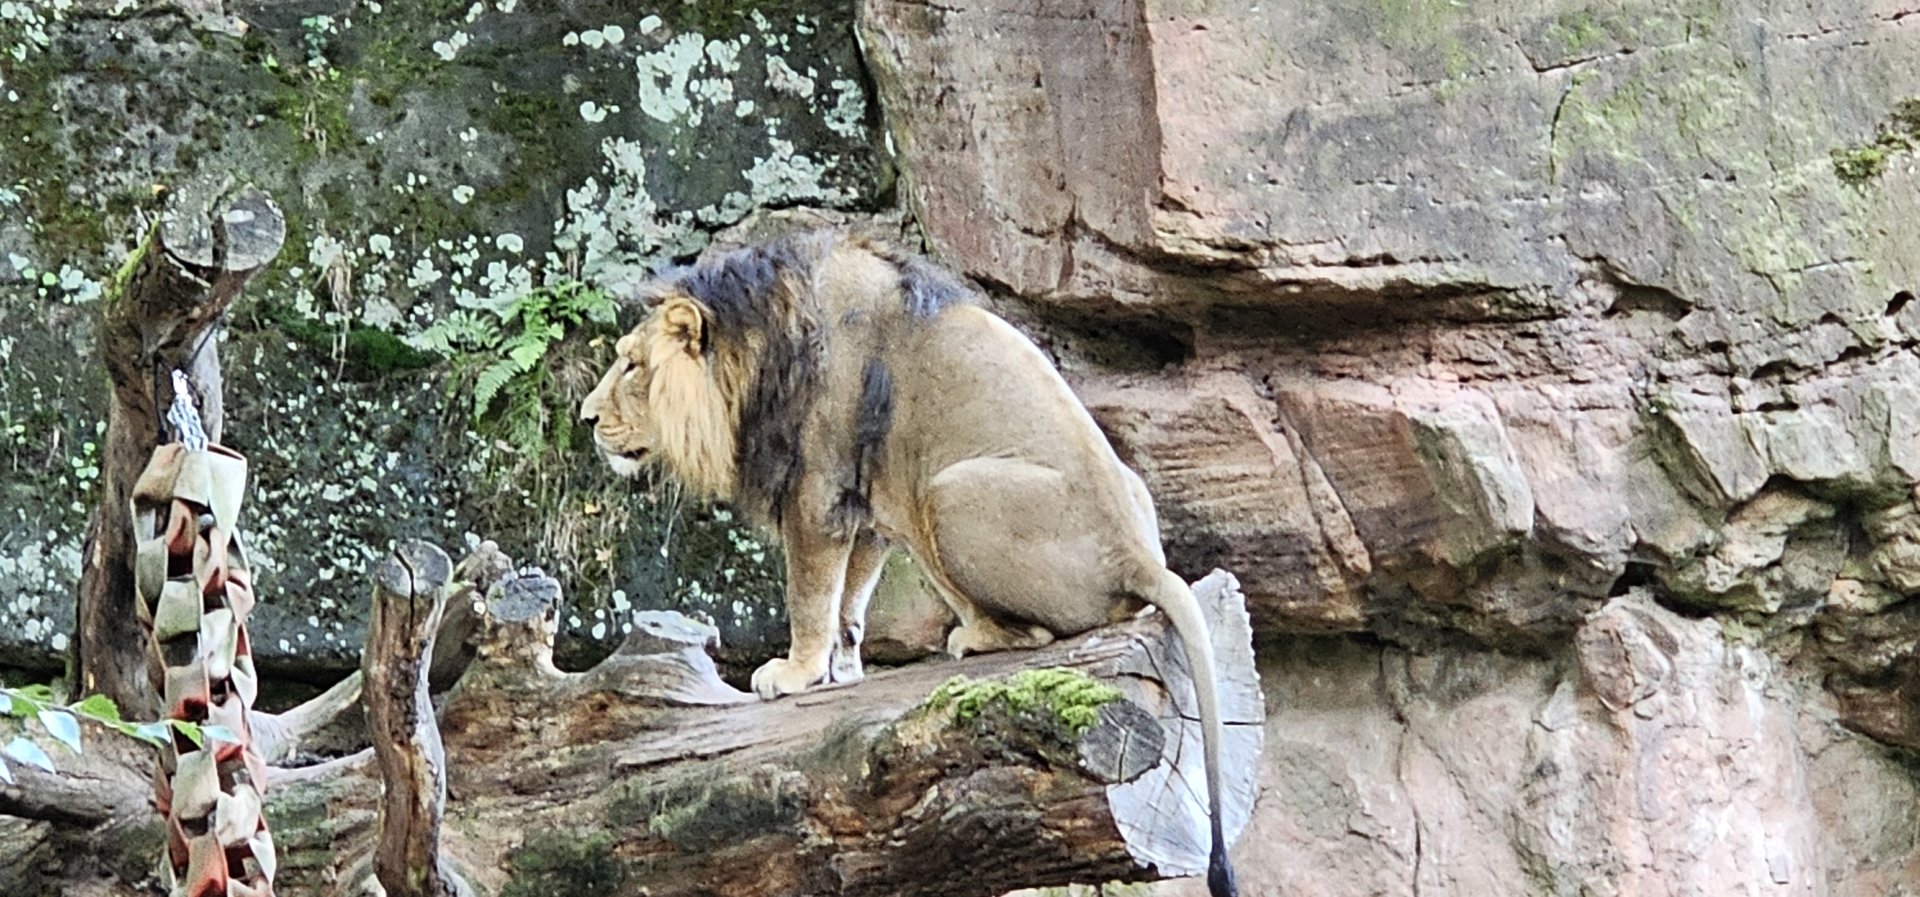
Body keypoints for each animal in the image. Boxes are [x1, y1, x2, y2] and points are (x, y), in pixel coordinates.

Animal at [579, 231, 1239, 897]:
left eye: (631, 365)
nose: (585, 418)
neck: (761, 349)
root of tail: (1138, 557)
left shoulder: (818, 492)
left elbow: (809, 596)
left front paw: (793, 674)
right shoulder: (868, 506)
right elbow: (849, 601)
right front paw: (842, 671)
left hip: (948, 492)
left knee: (1040, 632)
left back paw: (970, 638)